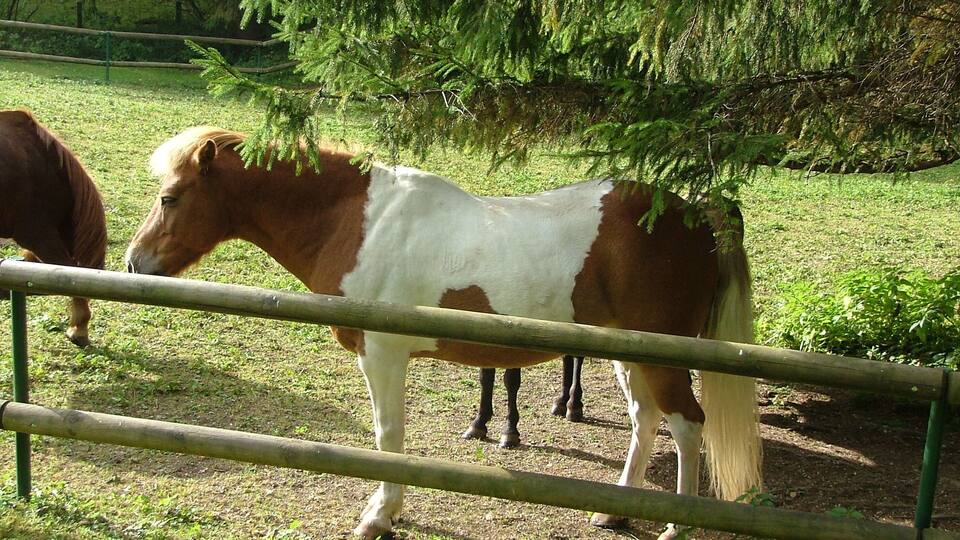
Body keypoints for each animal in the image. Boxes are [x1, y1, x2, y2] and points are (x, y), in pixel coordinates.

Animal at [125, 126, 762, 540]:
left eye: (170, 197)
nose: (133, 262)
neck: (357, 221)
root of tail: (698, 219)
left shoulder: (382, 355)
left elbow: (388, 438)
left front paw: (380, 516)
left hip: (662, 359)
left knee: (688, 426)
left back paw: (678, 527)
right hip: (631, 354)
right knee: (646, 419)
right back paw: (614, 511)